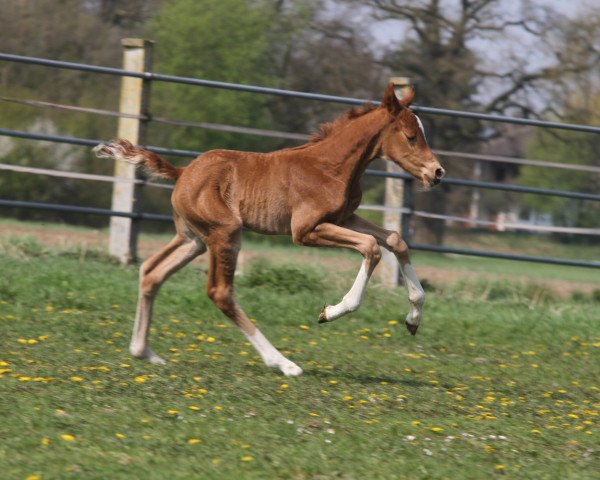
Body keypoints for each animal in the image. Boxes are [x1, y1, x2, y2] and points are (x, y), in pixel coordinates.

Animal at [95, 83, 446, 376]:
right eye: (411, 136)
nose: (437, 172)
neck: (331, 166)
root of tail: (182, 172)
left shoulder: (344, 217)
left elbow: (395, 240)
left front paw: (413, 318)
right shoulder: (305, 230)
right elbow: (371, 248)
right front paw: (331, 312)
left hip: (193, 239)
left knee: (152, 272)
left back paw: (143, 351)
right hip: (225, 233)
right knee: (219, 292)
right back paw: (283, 363)